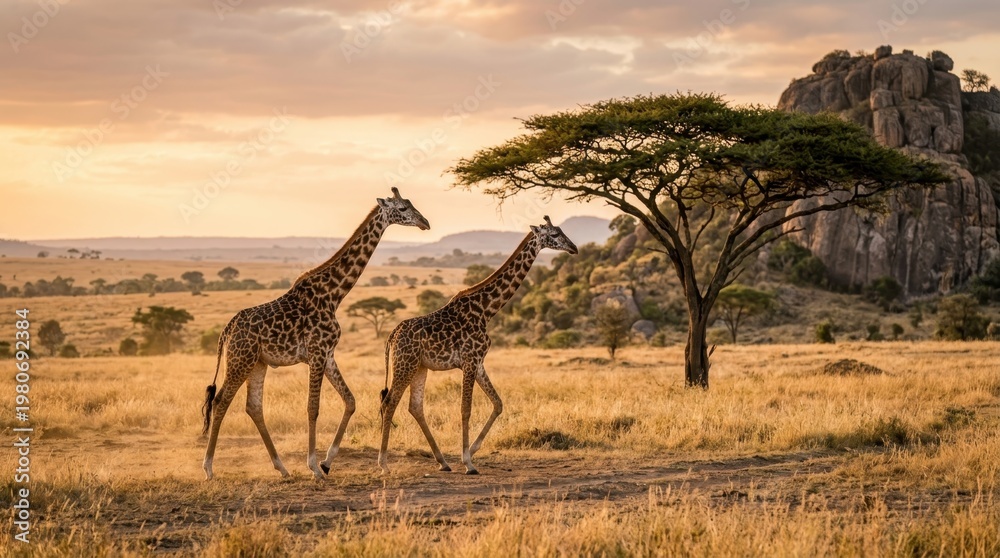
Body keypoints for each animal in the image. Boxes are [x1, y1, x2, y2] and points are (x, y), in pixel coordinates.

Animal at [201, 187, 430, 481]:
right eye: (402, 209)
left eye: (410, 204)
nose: (425, 222)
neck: (334, 295)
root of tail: (227, 330)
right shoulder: (317, 352)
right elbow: (313, 407)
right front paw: (313, 466)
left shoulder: (328, 354)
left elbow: (350, 401)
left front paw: (326, 462)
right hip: (240, 360)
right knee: (220, 402)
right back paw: (208, 468)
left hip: (258, 363)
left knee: (253, 407)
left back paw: (282, 468)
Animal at [377, 216, 578, 474]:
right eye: (553, 234)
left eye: (561, 231)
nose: (574, 248)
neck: (487, 310)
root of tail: (392, 335)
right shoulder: (469, 361)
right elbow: (466, 408)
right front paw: (468, 462)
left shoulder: (479, 363)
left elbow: (498, 403)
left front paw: (471, 451)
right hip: (405, 364)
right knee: (390, 401)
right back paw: (383, 464)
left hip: (420, 367)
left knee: (415, 406)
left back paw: (442, 462)